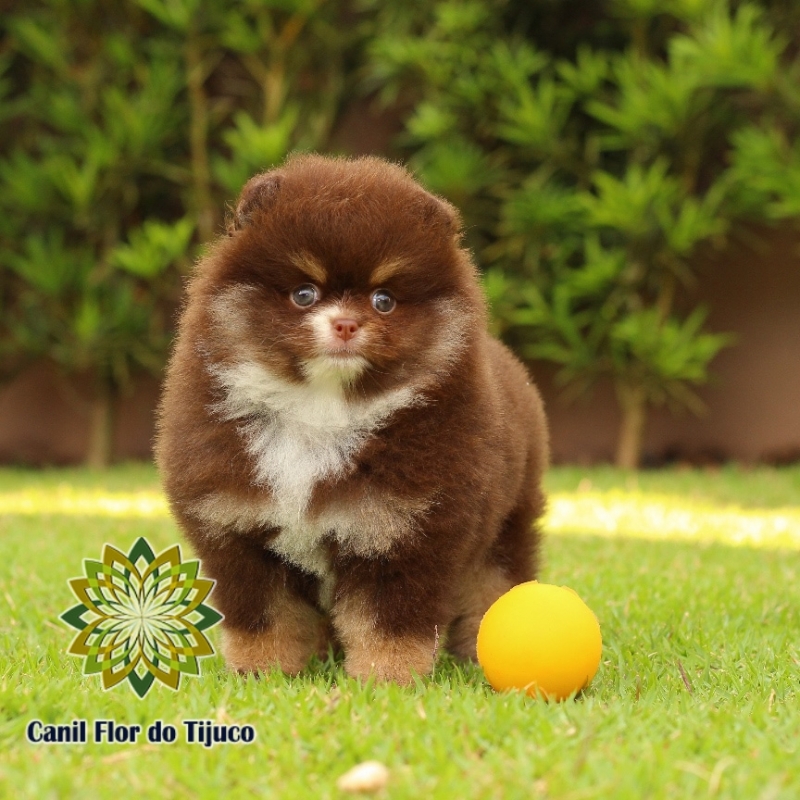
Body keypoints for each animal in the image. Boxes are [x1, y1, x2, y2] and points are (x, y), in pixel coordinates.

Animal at [154, 153, 548, 684]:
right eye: (304, 294)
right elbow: (264, 618)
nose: (345, 323)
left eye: (384, 300)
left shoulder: (407, 531)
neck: (320, 412)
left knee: (495, 582)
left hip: (508, 520)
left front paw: (386, 678)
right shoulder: (238, 530)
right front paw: (261, 671)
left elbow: (390, 622)